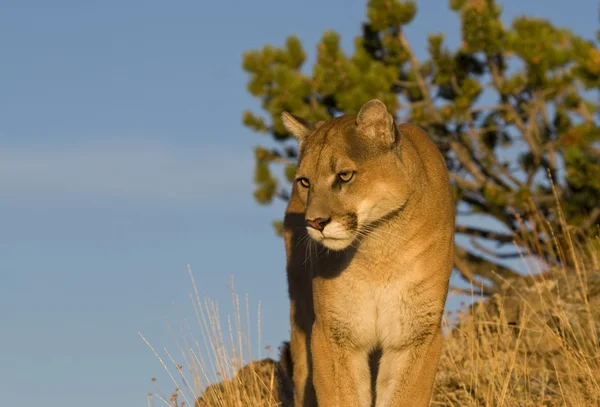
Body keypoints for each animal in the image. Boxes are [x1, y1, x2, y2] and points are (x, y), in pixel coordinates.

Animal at [282, 99, 454, 407]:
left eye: (344, 175)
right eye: (305, 182)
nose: (314, 222)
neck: (377, 248)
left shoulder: (416, 335)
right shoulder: (333, 334)